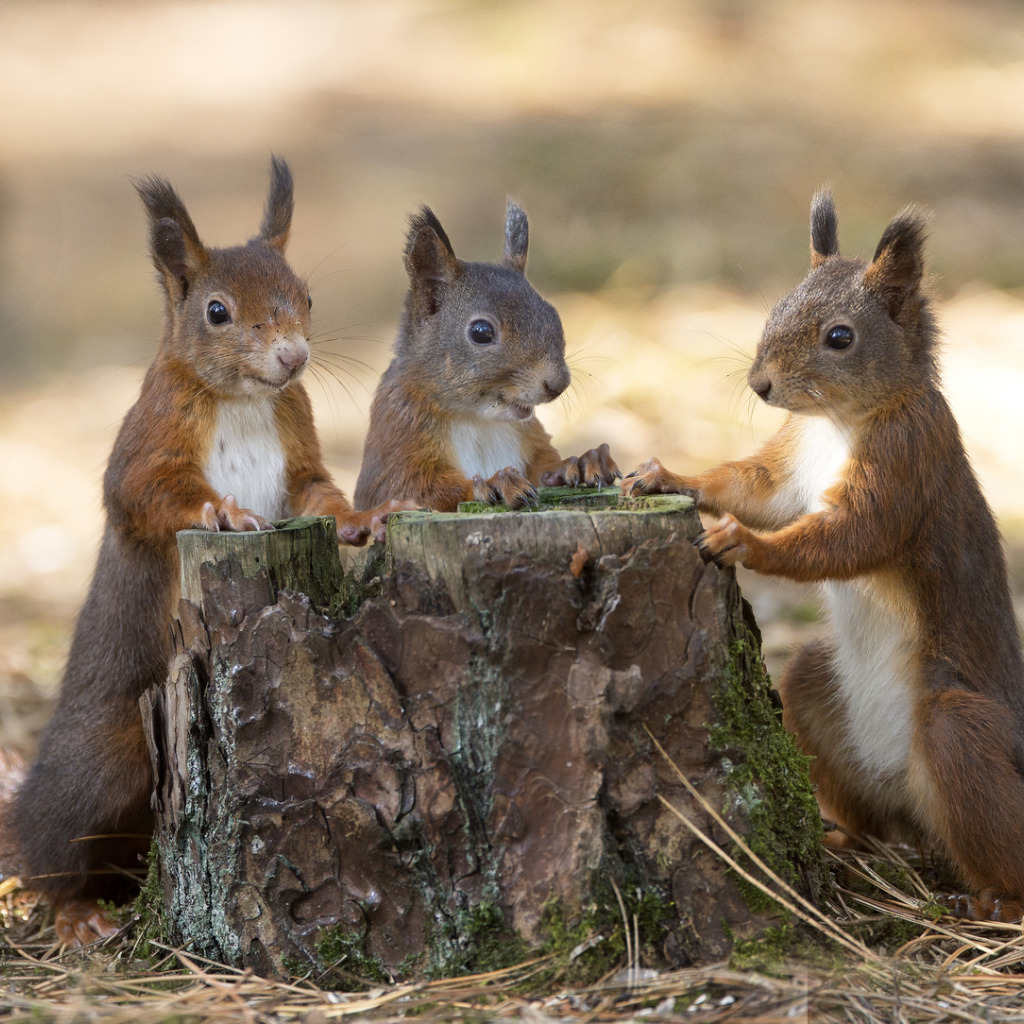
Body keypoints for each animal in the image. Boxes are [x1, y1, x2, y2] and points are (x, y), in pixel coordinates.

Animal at [12, 155, 405, 946]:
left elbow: (320, 499)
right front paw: (223, 512)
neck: (245, 400)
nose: (293, 357)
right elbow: (144, 496)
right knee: (51, 849)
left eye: (306, 296)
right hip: (102, 765)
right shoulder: (147, 443)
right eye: (217, 312)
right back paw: (75, 913)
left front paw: (363, 519)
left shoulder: (298, 457)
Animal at [354, 199, 614, 512]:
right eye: (481, 332)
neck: (479, 420)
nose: (558, 383)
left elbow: (544, 469)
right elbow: (411, 491)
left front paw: (582, 463)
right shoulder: (396, 436)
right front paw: (495, 484)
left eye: (553, 314)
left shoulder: (530, 437)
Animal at [622, 190, 1024, 921]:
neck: (837, 422)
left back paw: (998, 904)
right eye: (776, 308)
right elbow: (752, 489)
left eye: (841, 337)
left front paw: (743, 543)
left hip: (959, 734)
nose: (760, 385)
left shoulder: (905, 461)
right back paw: (844, 841)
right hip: (815, 689)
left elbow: (848, 536)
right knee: (873, 816)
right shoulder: (788, 467)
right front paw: (669, 477)